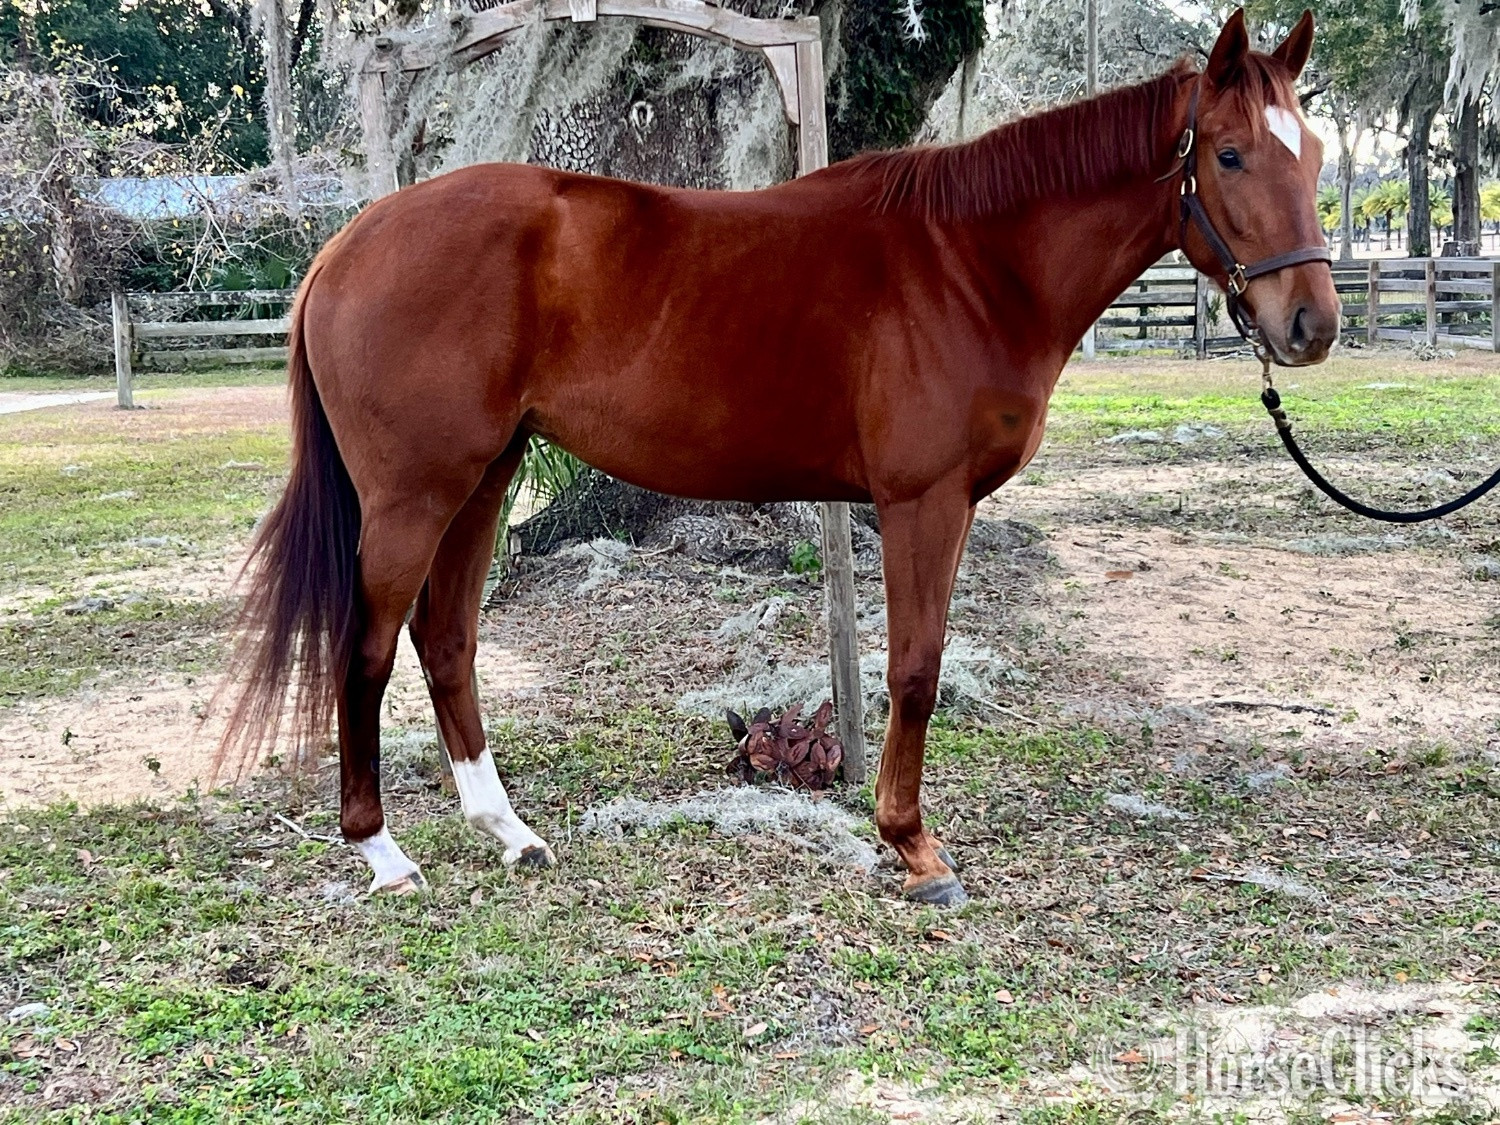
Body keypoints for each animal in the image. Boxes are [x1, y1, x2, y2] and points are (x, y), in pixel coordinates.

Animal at [223, 8, 1339, 905]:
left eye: (1318, 156)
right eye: (1229, 156)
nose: (1311, 325)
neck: (970, 264)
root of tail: (344, 245)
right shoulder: (922, 500)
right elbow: (916, 669)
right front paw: (913, 849)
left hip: (483, 479)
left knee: (446, 639)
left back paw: (509, 832)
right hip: (415, 494)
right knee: (366, 649)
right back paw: (382, 853)